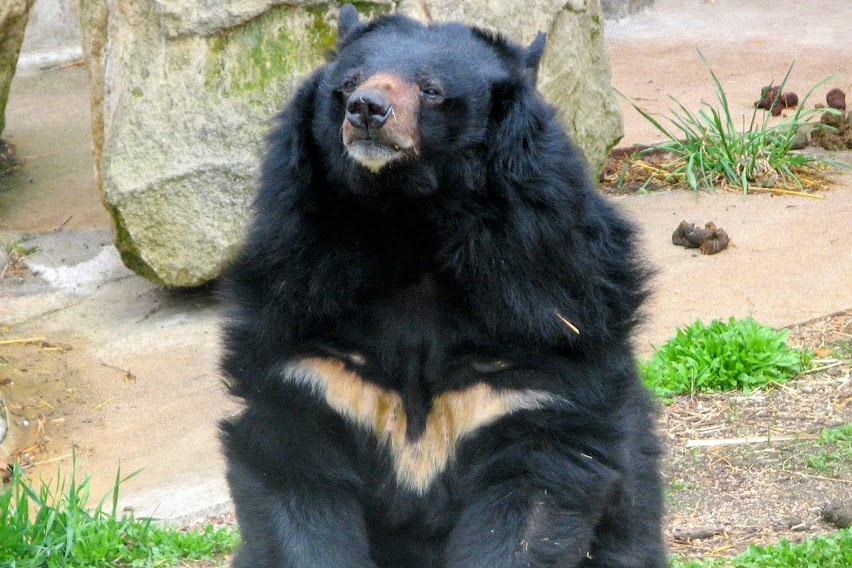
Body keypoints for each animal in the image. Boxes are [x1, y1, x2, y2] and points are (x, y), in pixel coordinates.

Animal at [220, 5, 666, 567]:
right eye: (348, 84)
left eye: (431, 89)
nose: (367, 110)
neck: (410, 225)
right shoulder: (306, 334)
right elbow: (294, 475)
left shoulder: (542, 333)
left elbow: (531, 498)